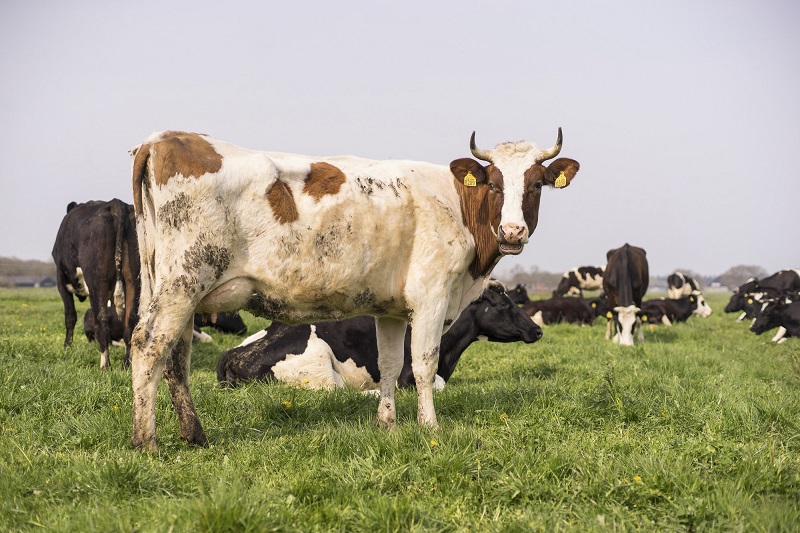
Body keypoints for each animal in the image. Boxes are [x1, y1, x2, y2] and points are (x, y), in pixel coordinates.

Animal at [51, 197, 141, 368]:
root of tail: (115, 203)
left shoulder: (61, 281)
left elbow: (70, 316)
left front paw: (67, 347)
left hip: (97, 281)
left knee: (101, 321)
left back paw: (105, 366)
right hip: (134, 279)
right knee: (130, 321)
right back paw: (126, 365)